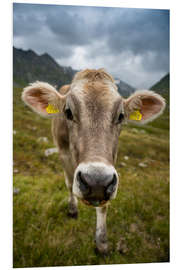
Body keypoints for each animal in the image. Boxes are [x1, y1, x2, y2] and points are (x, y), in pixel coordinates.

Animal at [21, 68, 165, 254]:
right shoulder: (63, 152)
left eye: (121, 116)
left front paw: (102, 243)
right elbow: (69, 184)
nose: (96, 181)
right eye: (68, 112)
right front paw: (73, 210)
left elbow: (104, 206)